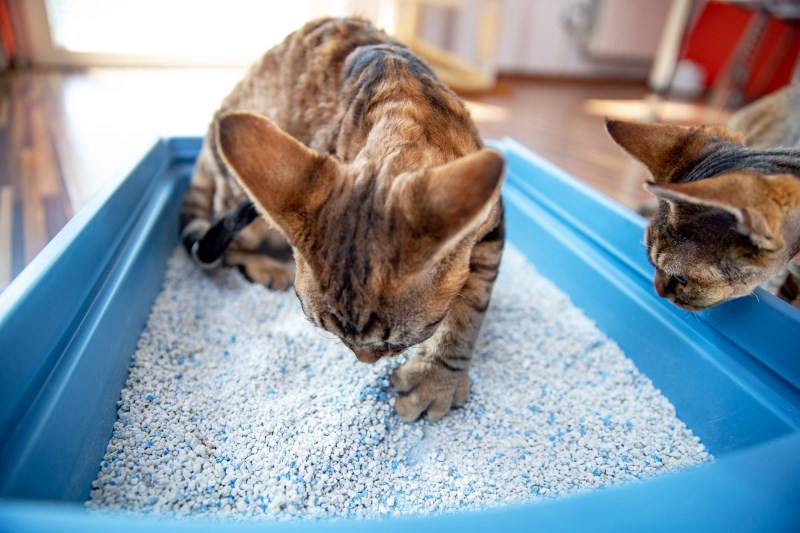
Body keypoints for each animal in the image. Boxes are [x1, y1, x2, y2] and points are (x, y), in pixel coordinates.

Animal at [180, 18, 506, 422]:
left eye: (396, 342)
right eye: (332, 333)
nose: (364, 360)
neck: (403, 110)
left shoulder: (491, 226)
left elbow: (468, 311)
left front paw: (437, 379)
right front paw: (435, 382)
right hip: (246, 210)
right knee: (226, 249)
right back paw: (265, 266)